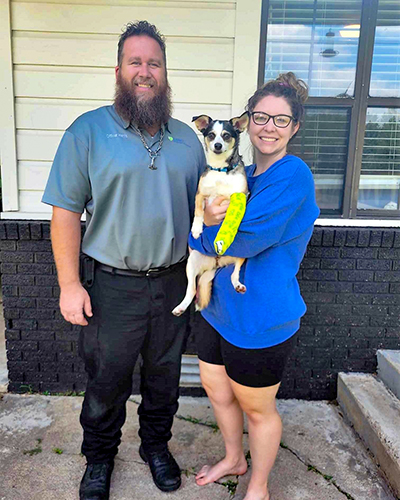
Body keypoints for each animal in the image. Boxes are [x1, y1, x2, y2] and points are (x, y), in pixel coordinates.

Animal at [173, 113, 250, 316]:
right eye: (211, 135)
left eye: (226, 135)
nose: (217, 145)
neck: (220, 171)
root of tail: (215, 264)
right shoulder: (200, 195)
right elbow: (200, 212)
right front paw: (196, 229)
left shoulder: (241, 196)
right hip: (191, 263)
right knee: (192, 290)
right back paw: (180, 307)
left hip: (242, 256)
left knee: (234, 274)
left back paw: (238, 285)